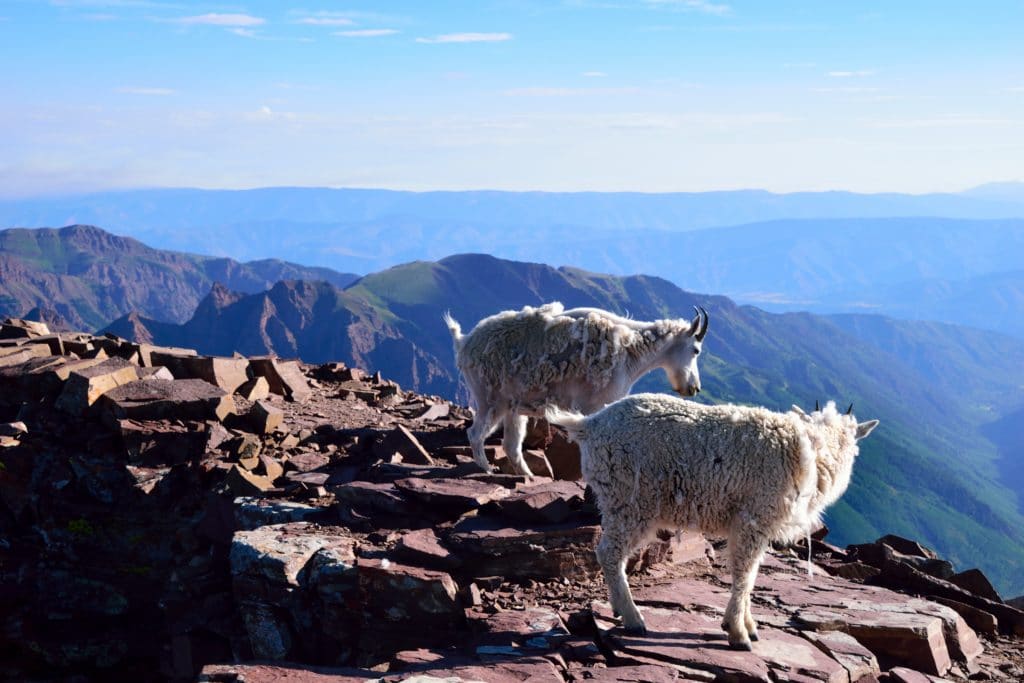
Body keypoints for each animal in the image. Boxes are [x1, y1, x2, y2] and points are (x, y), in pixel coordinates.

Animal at [444, 301, 708, 479]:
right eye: (696, 350)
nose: (694, 388)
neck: (632, 350)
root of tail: (463, 344)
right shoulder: (593, 405)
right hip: (490, 400)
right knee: (475, 434)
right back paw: (488, 469)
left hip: (512, 408)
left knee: (511, 445)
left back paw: (529, 476)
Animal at [548, 393, 876, 651]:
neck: (812, 450)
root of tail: (589, 425)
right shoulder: (752, 518)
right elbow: (744, 573)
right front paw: (738, 633)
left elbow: (752, 574)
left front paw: (749, 626)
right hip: (630, 500)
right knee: (609, 552)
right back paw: (633, 619)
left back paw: (619, 608)